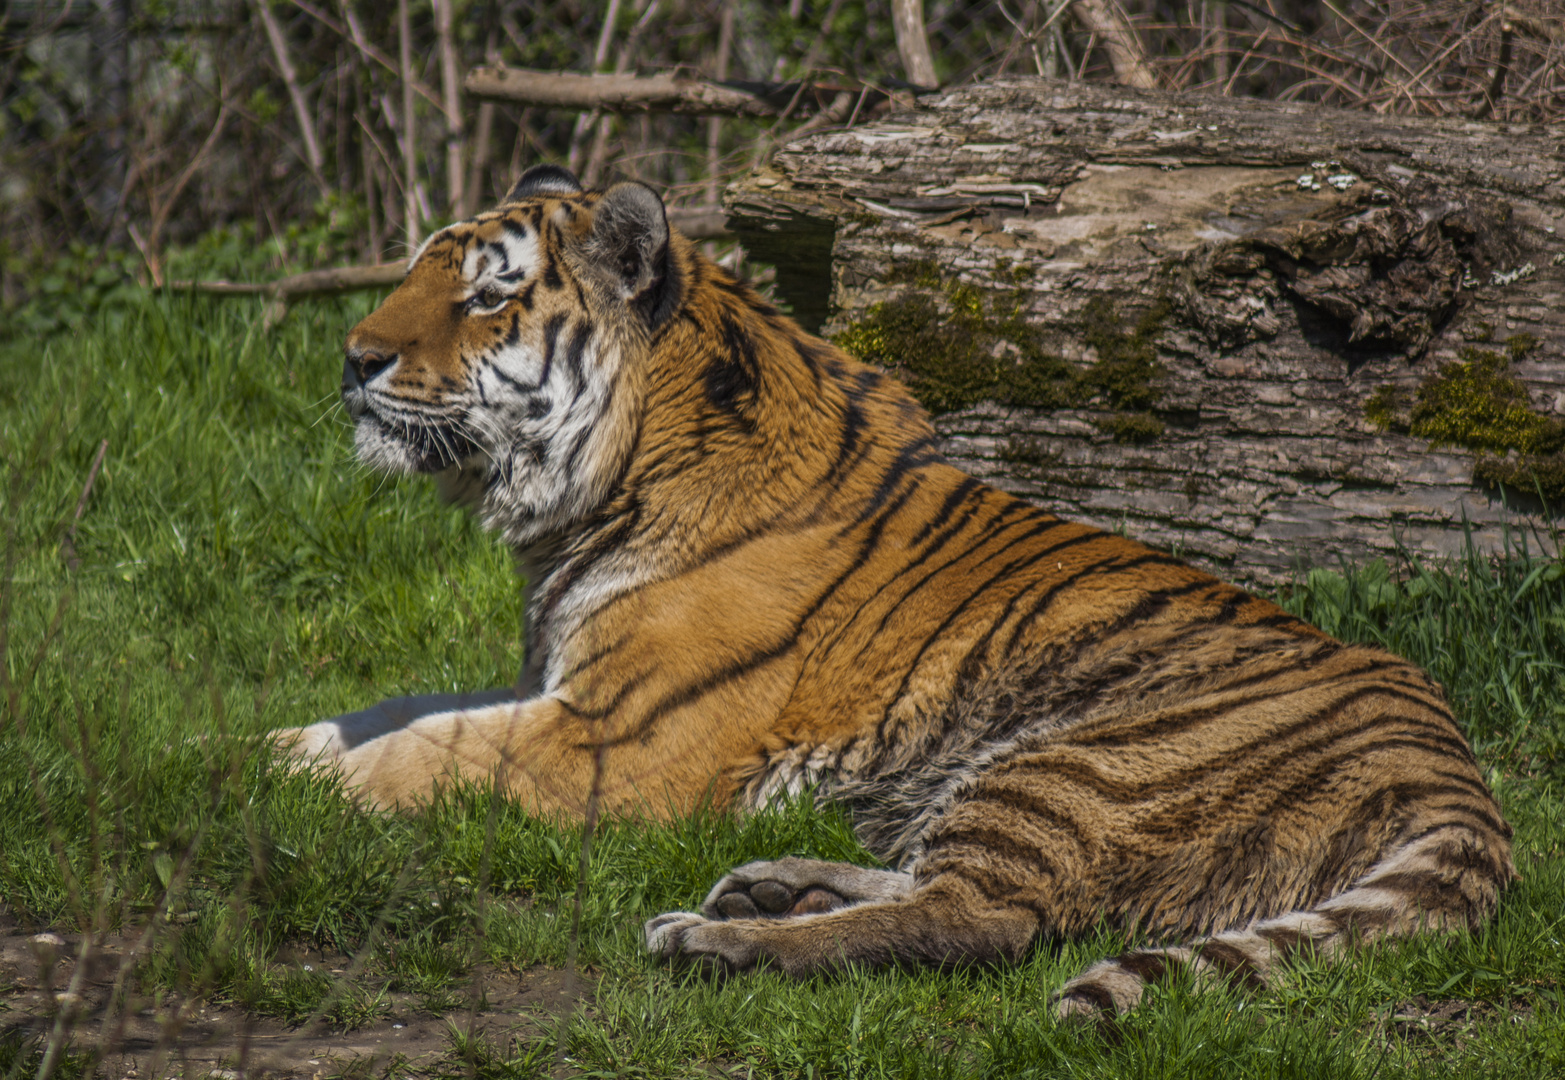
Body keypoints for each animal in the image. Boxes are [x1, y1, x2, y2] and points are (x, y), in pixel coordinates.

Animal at [281, 164, 1514, 1014]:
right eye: (419, 271)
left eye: (489, 298)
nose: (349, 359)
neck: (586, 501)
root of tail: (1449, 757)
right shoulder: (553, 685)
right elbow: (397, 710)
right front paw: (285, 744)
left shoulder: (611, 735)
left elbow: (419, 753)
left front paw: (263, 777)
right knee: (931, 880)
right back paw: (771, 883)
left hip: (1078, 759)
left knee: (983, 919)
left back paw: (720, 939)